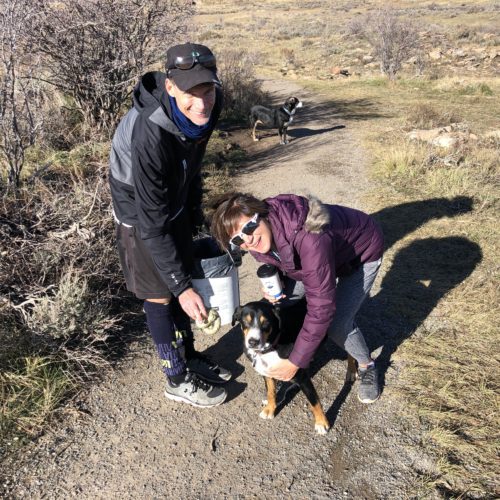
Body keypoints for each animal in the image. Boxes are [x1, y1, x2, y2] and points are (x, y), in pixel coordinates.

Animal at [231, 300, 332, 434]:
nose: (253, 342)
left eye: (266, 322)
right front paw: (270, 408)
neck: (272, 347)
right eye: (245, 321)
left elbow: (314, 401)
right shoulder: (268, 373)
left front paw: (321, 422)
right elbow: (271, 392)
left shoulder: (302, 378)